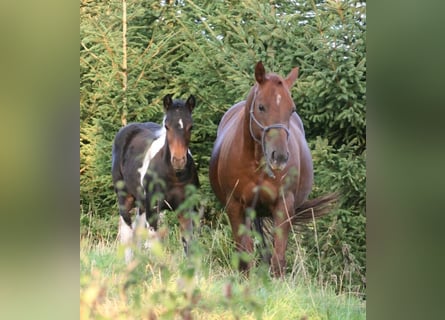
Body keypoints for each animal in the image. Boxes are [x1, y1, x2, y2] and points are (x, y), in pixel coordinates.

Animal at [112, 93, 199, 262]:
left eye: (190, 126)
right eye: (167, 126)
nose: (178, 161)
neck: (174, 176)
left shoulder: (186, 209)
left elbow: (188, 245)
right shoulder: (153, 209)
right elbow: (155, 245)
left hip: (142, 203)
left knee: (137, 233)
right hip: (125, 197)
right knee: (128, 233)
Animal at [210, 62, 334, 278]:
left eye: (291, 109)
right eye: (261, 106)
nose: (280, 156)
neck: (257, 165)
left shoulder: (283, 205)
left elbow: (278, 258)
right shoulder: (235, 207)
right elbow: (244, 255)